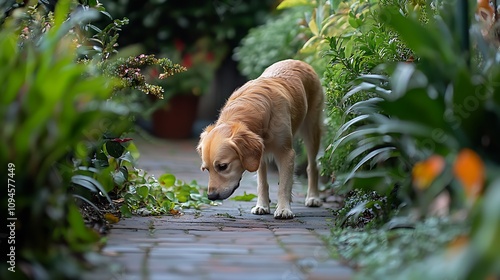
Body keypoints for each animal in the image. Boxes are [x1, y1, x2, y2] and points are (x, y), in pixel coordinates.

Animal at [197, 59, 322, 219]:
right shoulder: (259, 155)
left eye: (223, 166)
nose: (211, 196)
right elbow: (262, 183)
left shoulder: (286, 153)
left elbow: (284, 184)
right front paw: (262, 206)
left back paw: (313, 197)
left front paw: (283, 209)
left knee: (312, 166)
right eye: (206, 169)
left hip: (312, 130)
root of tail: (299, 61)